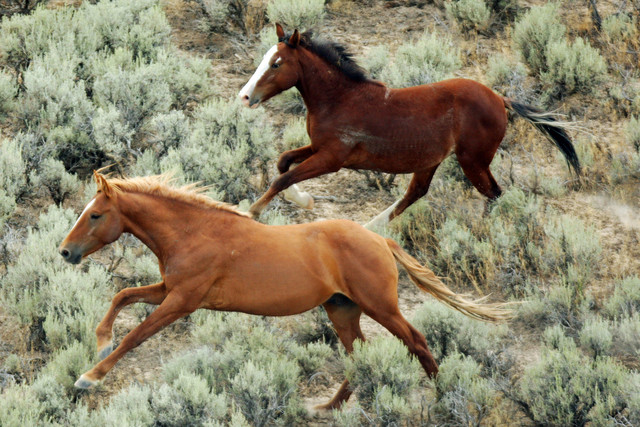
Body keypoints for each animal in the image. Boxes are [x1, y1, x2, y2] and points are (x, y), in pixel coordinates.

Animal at [58, 172, 510, 409]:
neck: (194, 232)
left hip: (380, 306)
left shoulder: (182, 301)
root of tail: (380, 240)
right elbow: (122, 297)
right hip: (341, 309)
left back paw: (443, 396)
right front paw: (100, 341)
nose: (65, 251)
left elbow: (135, 336)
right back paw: (327, 407)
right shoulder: (170, 289)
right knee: (358, 355)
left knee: (416, 341)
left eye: (95, 215)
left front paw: (88, 377)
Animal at [238, 24, 581, 229]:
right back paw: (370, 229)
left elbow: (282, 178)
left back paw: (481, 231)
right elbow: (283, 162)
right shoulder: (318, 148)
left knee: (493, 193)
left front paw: (250, 212)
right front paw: (304, 200)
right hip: (432, 160)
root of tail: (500, 98)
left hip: (472, 161)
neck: (338, 99)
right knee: (416, 192)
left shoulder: (332, 159)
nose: (245, 96)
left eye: (276, 64)